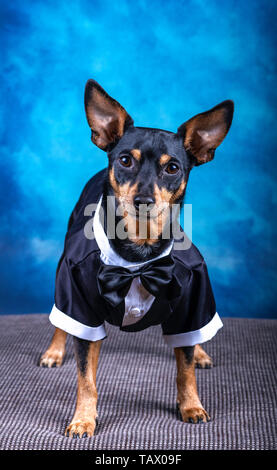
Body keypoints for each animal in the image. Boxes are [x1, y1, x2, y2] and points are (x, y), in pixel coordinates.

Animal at [38, 81, 233, 436]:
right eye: (126, 161)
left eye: (173, 168)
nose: (143, 199)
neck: (140, 257)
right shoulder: (79, 296)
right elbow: (86, 378)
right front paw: (83, 418)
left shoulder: (193, 293)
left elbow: (185, 369)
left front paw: (192, 406)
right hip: (63, 271)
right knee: (65, 326)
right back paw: (55, 351)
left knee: (197, 334)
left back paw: (201, 352)